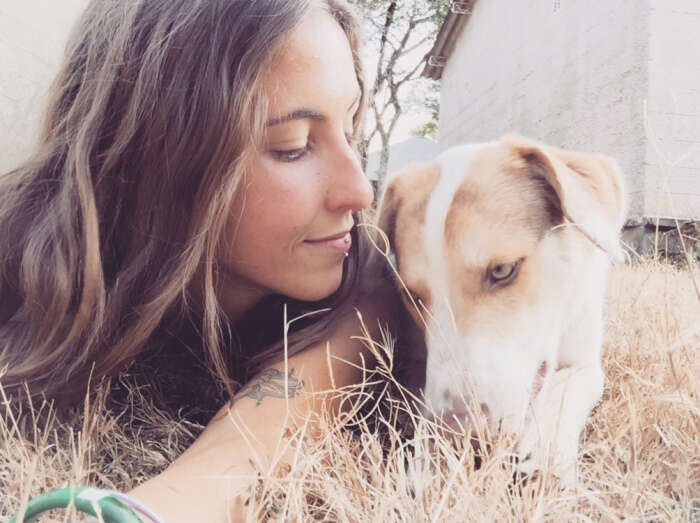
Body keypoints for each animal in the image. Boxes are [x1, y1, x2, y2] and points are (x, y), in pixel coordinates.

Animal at [372, 135, 628, 488]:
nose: (461, 439)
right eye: (412, 295)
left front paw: (546, 450)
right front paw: (427, 463)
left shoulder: (585, 352)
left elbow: (576, 381)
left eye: (503, 270)